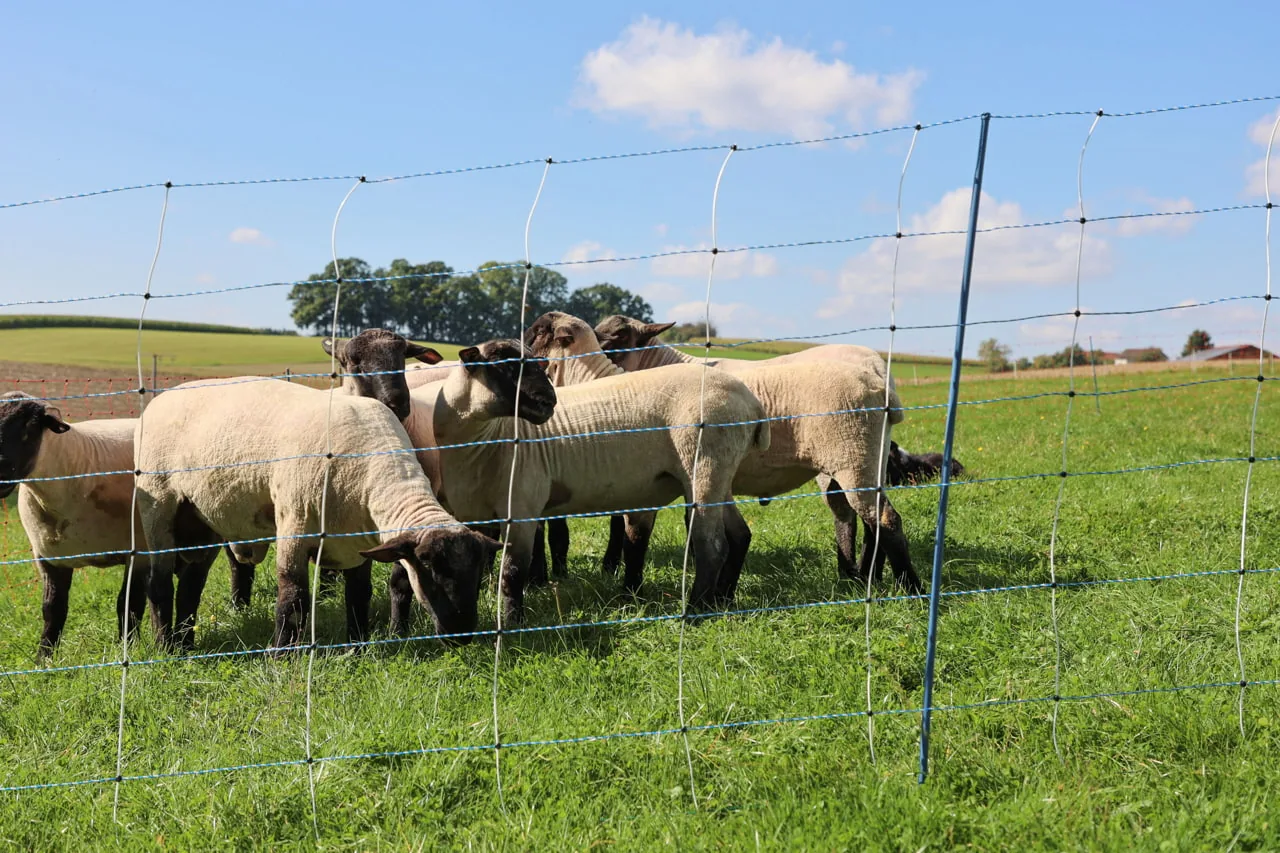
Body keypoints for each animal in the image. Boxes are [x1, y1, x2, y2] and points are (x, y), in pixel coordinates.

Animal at [135, 376, 498, 651]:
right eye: (430, 570)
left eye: (478, 574)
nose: (463, 634)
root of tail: (160, 398)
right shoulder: (295, 524)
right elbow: (293, 596)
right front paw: (281, 655)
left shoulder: (358, 542)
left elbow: (359, 594)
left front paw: (357, 645)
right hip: (158, 505)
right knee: (159, 583)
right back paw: (166, 647)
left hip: (201, 520)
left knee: (191, 585)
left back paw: (186, 644)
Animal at [407, 338, 769, 624]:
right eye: (504, 365)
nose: (548, 402)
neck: (483, 440)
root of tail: (751, 401)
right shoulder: (476, 513)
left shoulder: (521, 508)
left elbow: (512, 573)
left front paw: (512, 623)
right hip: (719, 474)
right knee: (739, 534)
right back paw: (724, 599)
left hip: (704, 465)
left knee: (712, 545)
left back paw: (695, 611)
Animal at [527, 312, 921, 596]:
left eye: (620, 336)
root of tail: (880, 379)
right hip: (865, 458)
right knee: (860, 519)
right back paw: (864, 577)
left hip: (851, 456)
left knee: (875, 518)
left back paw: (903, 586)